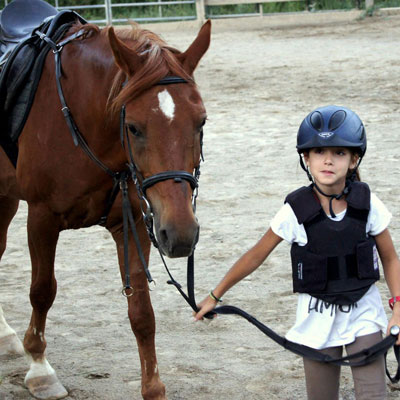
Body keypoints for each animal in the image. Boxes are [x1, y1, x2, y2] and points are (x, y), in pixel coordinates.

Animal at [0, 19, 212, 400]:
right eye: (133, 127)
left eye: (201, 121)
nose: (181, 235)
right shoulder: (41, 218)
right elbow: (42, 291)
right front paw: (40, 369)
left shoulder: (134, 224)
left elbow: (142, 313)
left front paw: (153, 388)